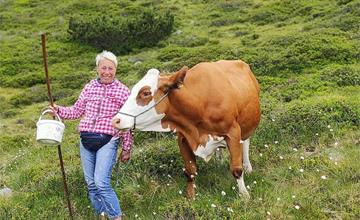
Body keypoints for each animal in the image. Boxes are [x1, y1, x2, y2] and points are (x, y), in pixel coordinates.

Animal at [111, 59, 260, 199]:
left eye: (146, 92)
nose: (116, 120)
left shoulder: (232, 132)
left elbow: (236, 169)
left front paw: (244, 195)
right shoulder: (183, 138)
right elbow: (190, 171)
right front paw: (190, 197)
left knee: (245, 143)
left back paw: (248, 167)